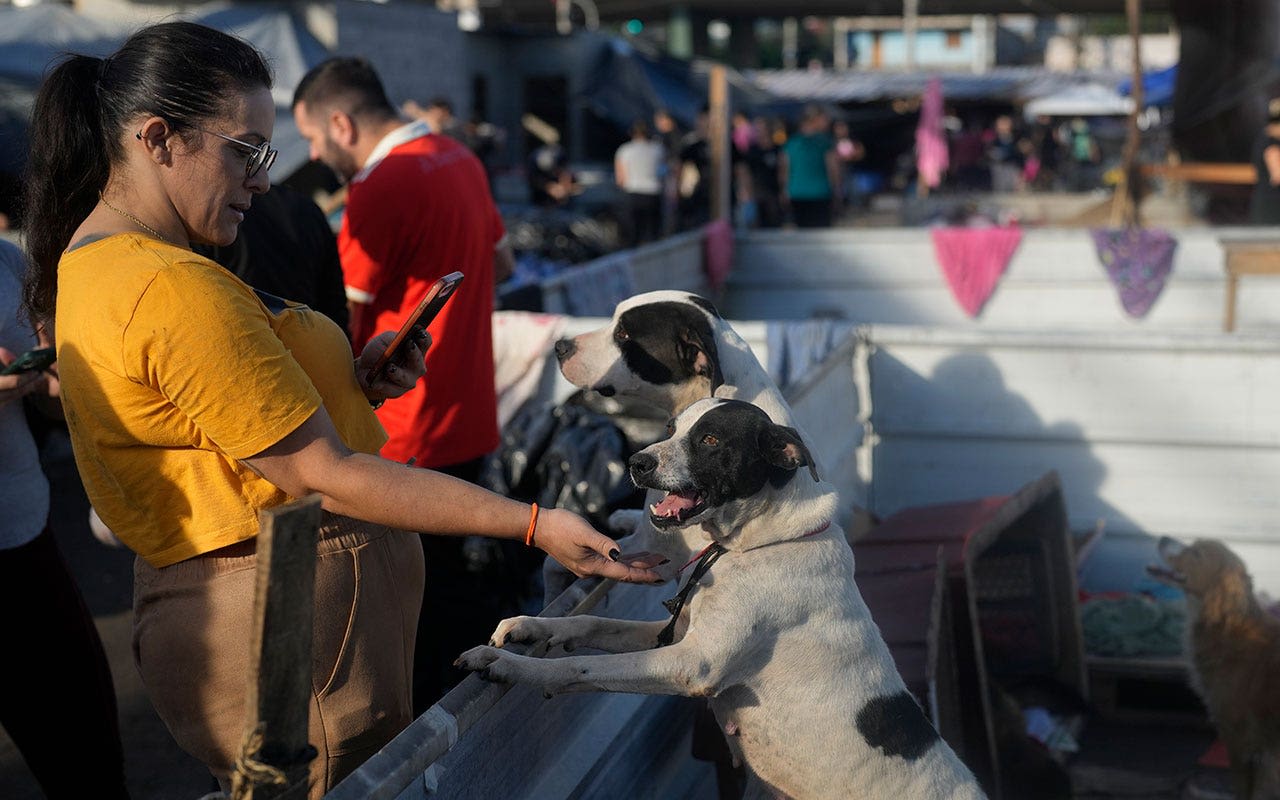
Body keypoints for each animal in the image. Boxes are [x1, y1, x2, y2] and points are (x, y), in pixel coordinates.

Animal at [455, 399, 983, 798]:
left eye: (709, 440)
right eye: (671, 429)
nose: (637, 463)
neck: (757, 543)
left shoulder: (692, 663)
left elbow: (579, 668)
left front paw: (510, 667)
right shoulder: (675, 635)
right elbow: (588, 626)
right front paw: (530, 626)